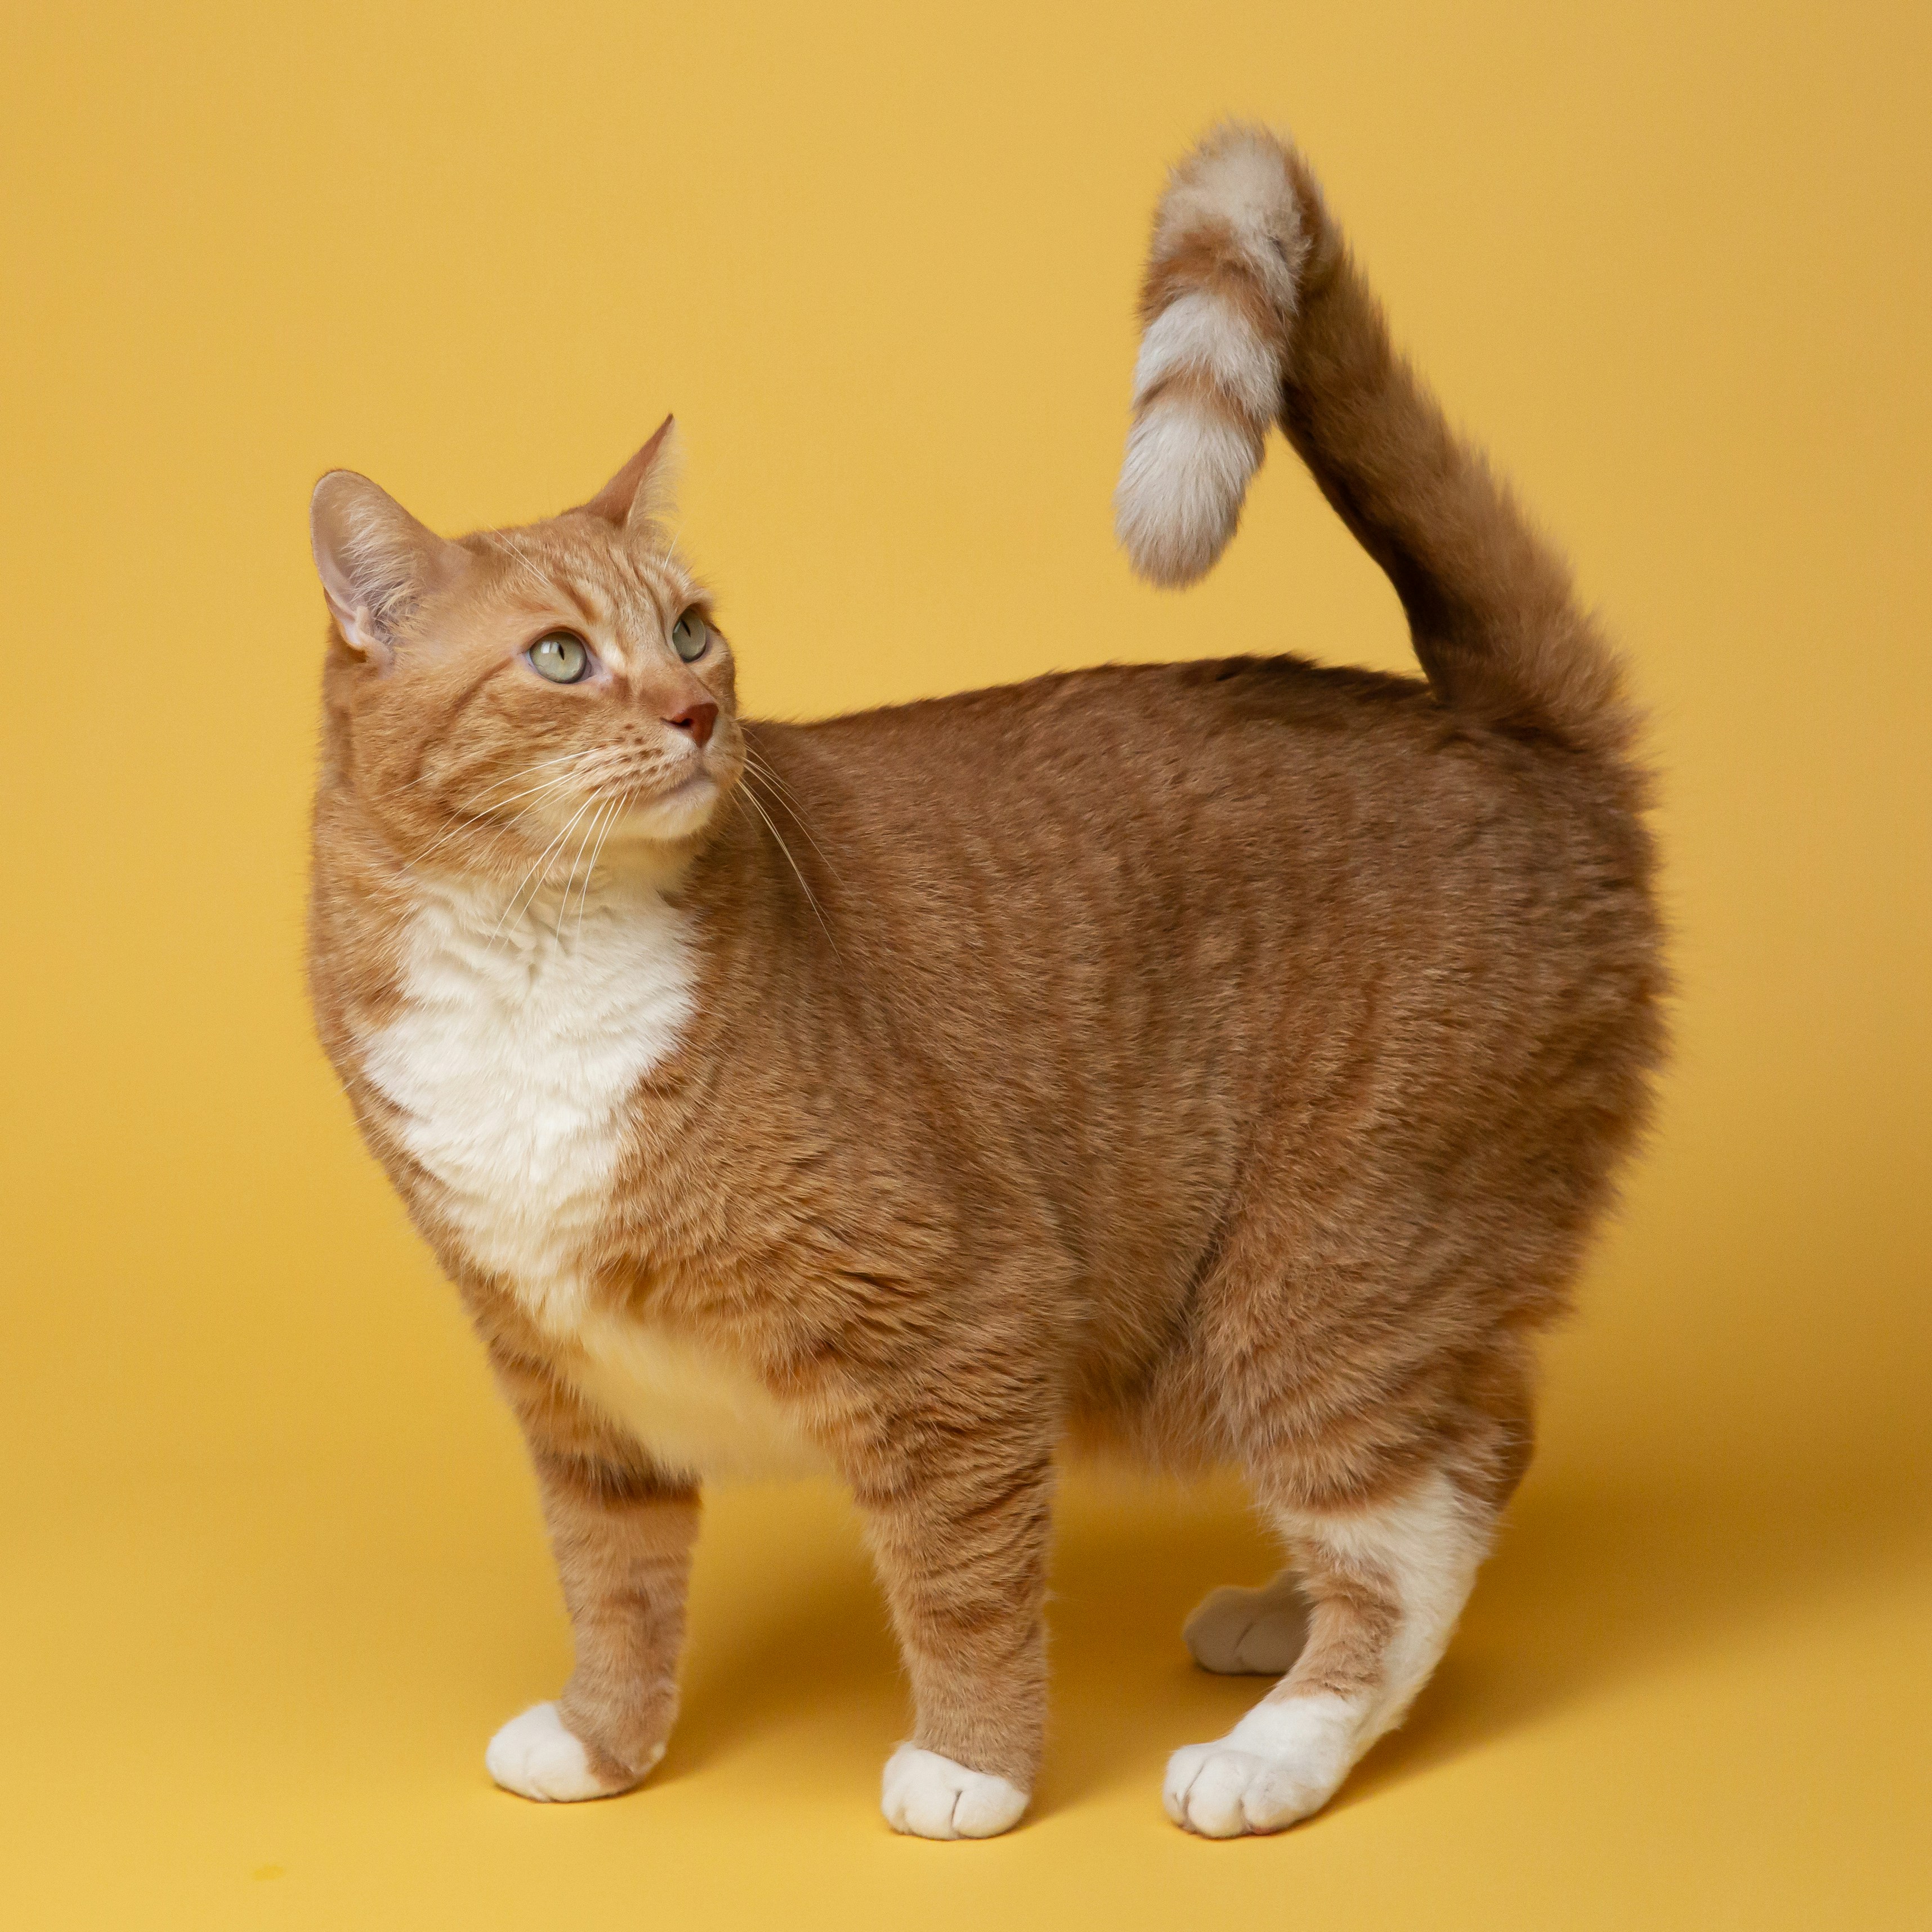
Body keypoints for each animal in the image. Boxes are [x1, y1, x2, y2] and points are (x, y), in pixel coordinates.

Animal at [301, 120, 1661, 1839]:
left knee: (1419, 1512)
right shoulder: (567, 1386)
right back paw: (1280, 1620)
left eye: (693, 631)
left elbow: (960, 1581)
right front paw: (606, 1746)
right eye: (560, 657)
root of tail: (1512, 734)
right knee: (1473, 1449)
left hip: (1323, 1266)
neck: (535, 955)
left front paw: (970, 1769)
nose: (694, 713)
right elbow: (611, 1581)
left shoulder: (958, 1319)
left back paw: (1282, 1741)